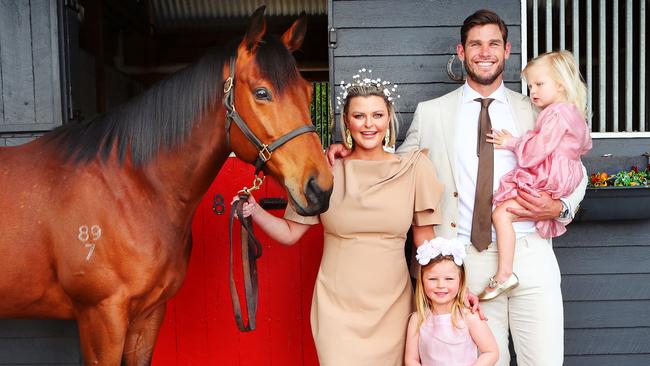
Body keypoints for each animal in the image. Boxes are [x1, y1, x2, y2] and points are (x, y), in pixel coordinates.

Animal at [0, 6, 330, 366]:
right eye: (261, 92)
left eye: (308, 92)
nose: (320, 187)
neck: (131, 187)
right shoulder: (101, 317)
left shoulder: (149, 314)